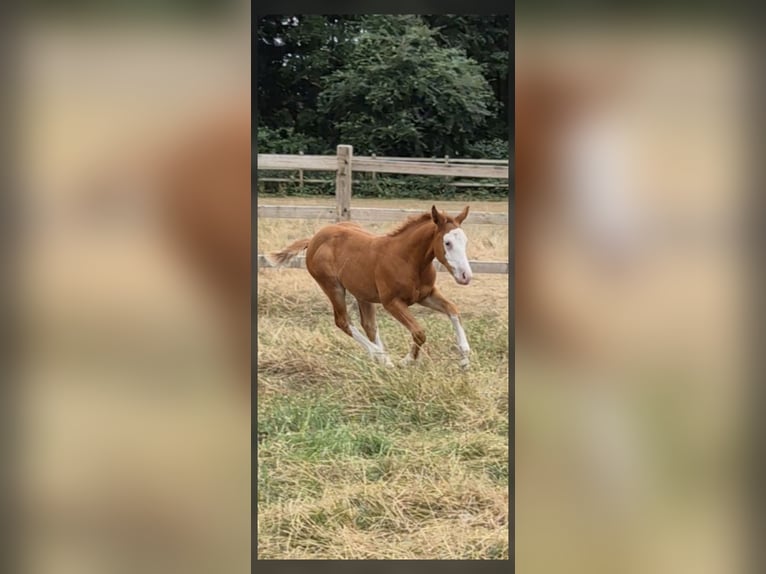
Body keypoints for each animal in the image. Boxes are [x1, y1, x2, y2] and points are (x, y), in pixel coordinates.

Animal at [268, 206, 474, 368]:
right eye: (447, 243)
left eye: (465, 241)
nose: (466, 276)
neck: (408, 260)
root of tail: (313, 239)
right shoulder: (391, 302)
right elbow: (419, 332)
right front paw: (406, 360)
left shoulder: (426, 295)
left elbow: (453, 310)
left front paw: (464, 357)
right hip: (332, 286)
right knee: (343, 321)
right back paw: (380, 356)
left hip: (362, 293)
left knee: (369, 325)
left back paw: (383, 360)